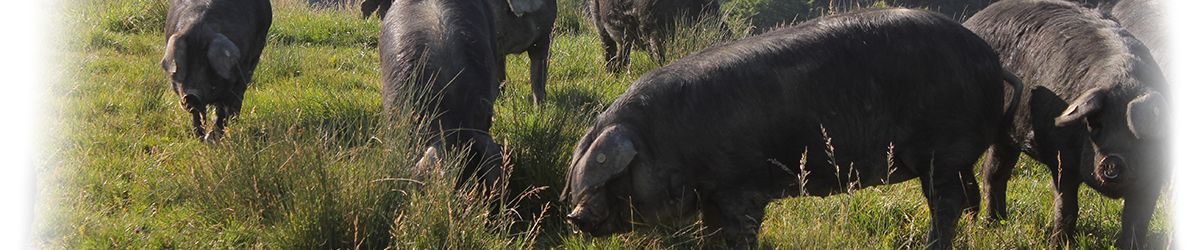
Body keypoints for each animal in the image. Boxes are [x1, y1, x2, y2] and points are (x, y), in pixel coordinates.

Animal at [158, 0, 271, 140]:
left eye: (207, 66)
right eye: (187, 62)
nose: (191, 95)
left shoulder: (236, 79)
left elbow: (222, 111)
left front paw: (212, 139)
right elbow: (198, 115)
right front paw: (199, 137)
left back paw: (235, 121)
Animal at [561, 7, 1022, 250]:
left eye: (613, 177)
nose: (574, 216)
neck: (666, 141)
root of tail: (991, 60)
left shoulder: (741, 185)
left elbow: (740, 230)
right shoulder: (712, 192)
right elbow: (711, 232)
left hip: (942, 149)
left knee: (946, 202)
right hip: (953, 155)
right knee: (965, 197)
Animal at [964, 0, 1171, 247]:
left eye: (1133, 131)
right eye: (1095, 123)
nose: (1112, 160)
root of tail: (972, 21)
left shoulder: (1156, 176)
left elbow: (1137, 222)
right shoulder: (1060, 160)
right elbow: (1067, 207)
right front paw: (1057, 245)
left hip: (1006, 138)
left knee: (993, 172)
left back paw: (995, 223)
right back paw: (979, 222)